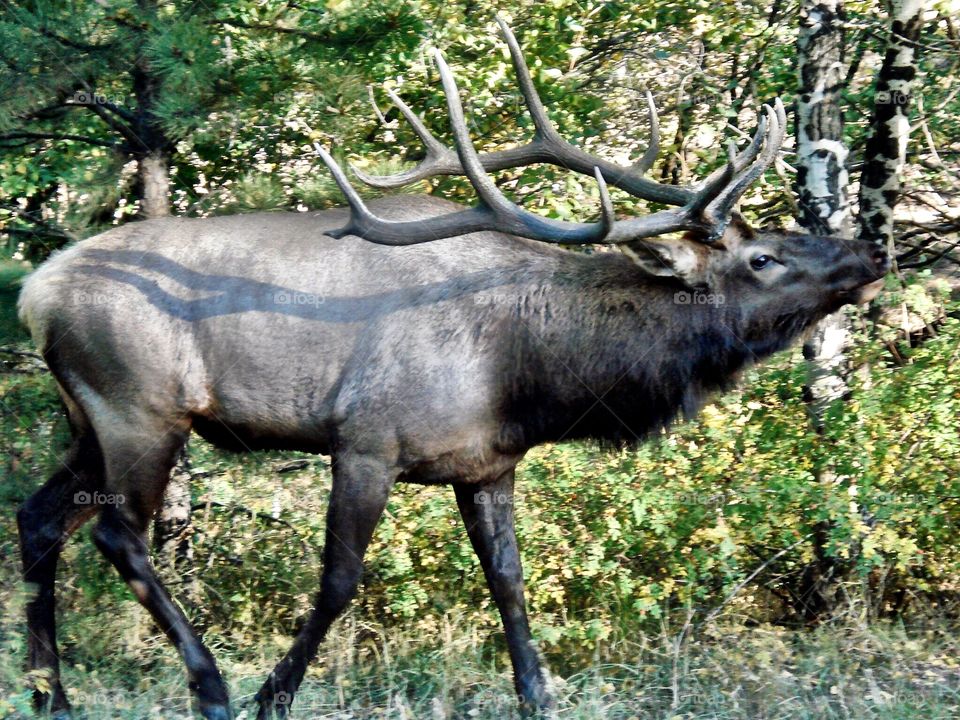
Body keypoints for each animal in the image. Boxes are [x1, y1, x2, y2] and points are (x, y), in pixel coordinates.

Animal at [16, 18, 887, 720]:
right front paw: (274, 692)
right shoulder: (366, 441)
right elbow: (340, 579)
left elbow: (509, 578)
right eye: (762, 257)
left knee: (38, 518)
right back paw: (211, 687)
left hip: (85, 418)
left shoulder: (488, 463)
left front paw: (537, 694)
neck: (526, 374)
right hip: (140, 408)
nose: (870, 253)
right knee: (118, 534)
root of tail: (34, 291)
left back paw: (49, 692)